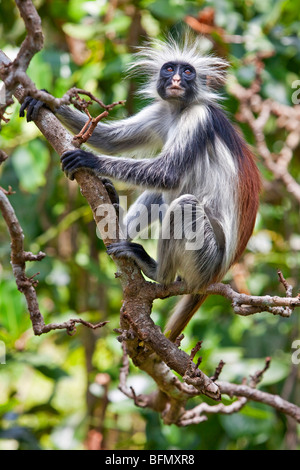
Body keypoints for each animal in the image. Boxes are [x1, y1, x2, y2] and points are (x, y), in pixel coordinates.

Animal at [20, 34, 260, 342]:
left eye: (188, 72)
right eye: (169, 69)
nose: (177, 80)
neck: (179, 110)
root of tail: (220, 273)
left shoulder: (198, 117)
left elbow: (167, 174)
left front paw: (90, 159)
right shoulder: (161, 112)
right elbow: (109, 139)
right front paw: (44, 99)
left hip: (207, 258)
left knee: (183, 203)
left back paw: (157, 272)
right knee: (160, 195)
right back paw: (115, 215)